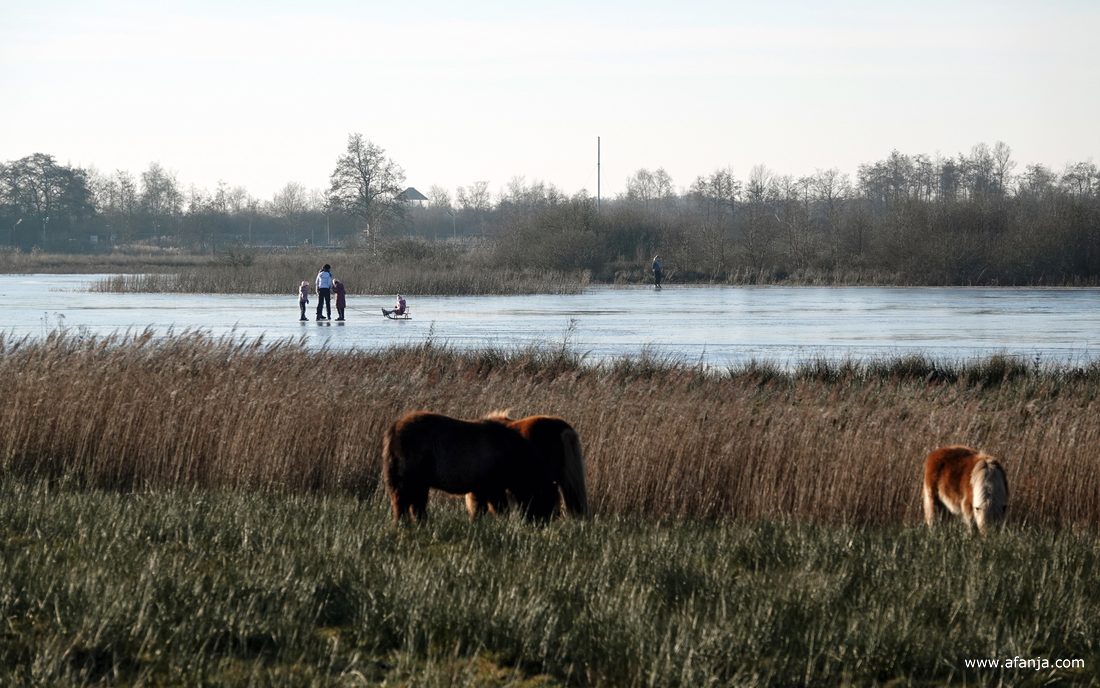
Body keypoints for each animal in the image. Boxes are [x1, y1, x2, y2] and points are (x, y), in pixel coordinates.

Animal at [382, 411, 560, 523]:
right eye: (547, 499)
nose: (552, 518)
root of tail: (394, 429)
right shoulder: (492, 482)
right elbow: (498, 506)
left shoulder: (481, 484)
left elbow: (479, 506)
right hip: (411, 469)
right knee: (403, 499)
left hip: (417, 475)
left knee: (414, 500)